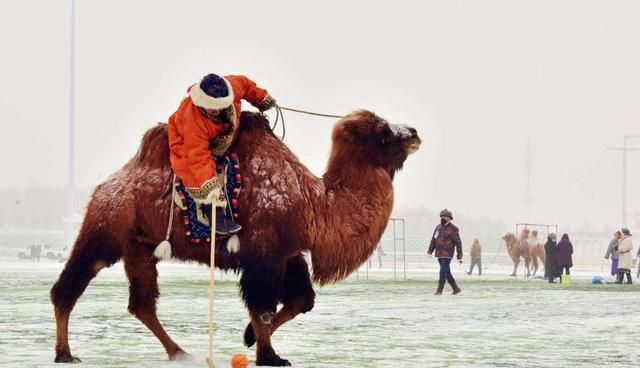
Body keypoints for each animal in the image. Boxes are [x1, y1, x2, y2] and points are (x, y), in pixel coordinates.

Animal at [50, 110, 420, 366]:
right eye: (382, 133)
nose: (414, 132)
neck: (314, 203)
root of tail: (107, 184)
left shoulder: (288, 255)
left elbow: (301, 301)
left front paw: (249, 339)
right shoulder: (265, 254)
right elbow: (264, 307)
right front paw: (269, 356)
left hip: (140, 246)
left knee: (142, 304)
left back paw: (179, 352)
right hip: (106, 227)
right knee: (69, 286)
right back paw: (64, 353)